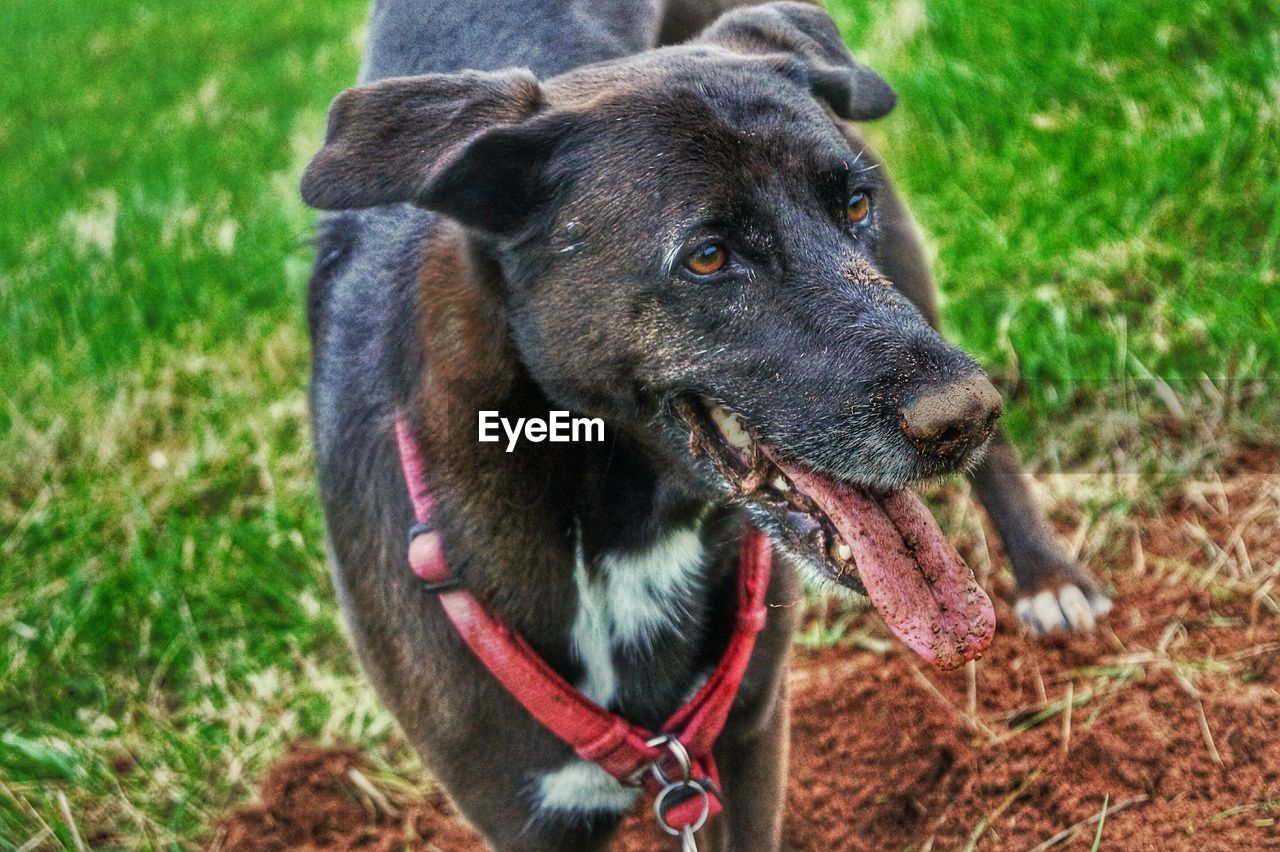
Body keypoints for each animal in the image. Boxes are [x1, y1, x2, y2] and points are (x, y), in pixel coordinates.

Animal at [299, 1, 1111, 844]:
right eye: (709, 256)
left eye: (852, 206)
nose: (965, 416)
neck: (621, 528)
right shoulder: (528, 820)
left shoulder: (749, 730)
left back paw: (1048, 576)